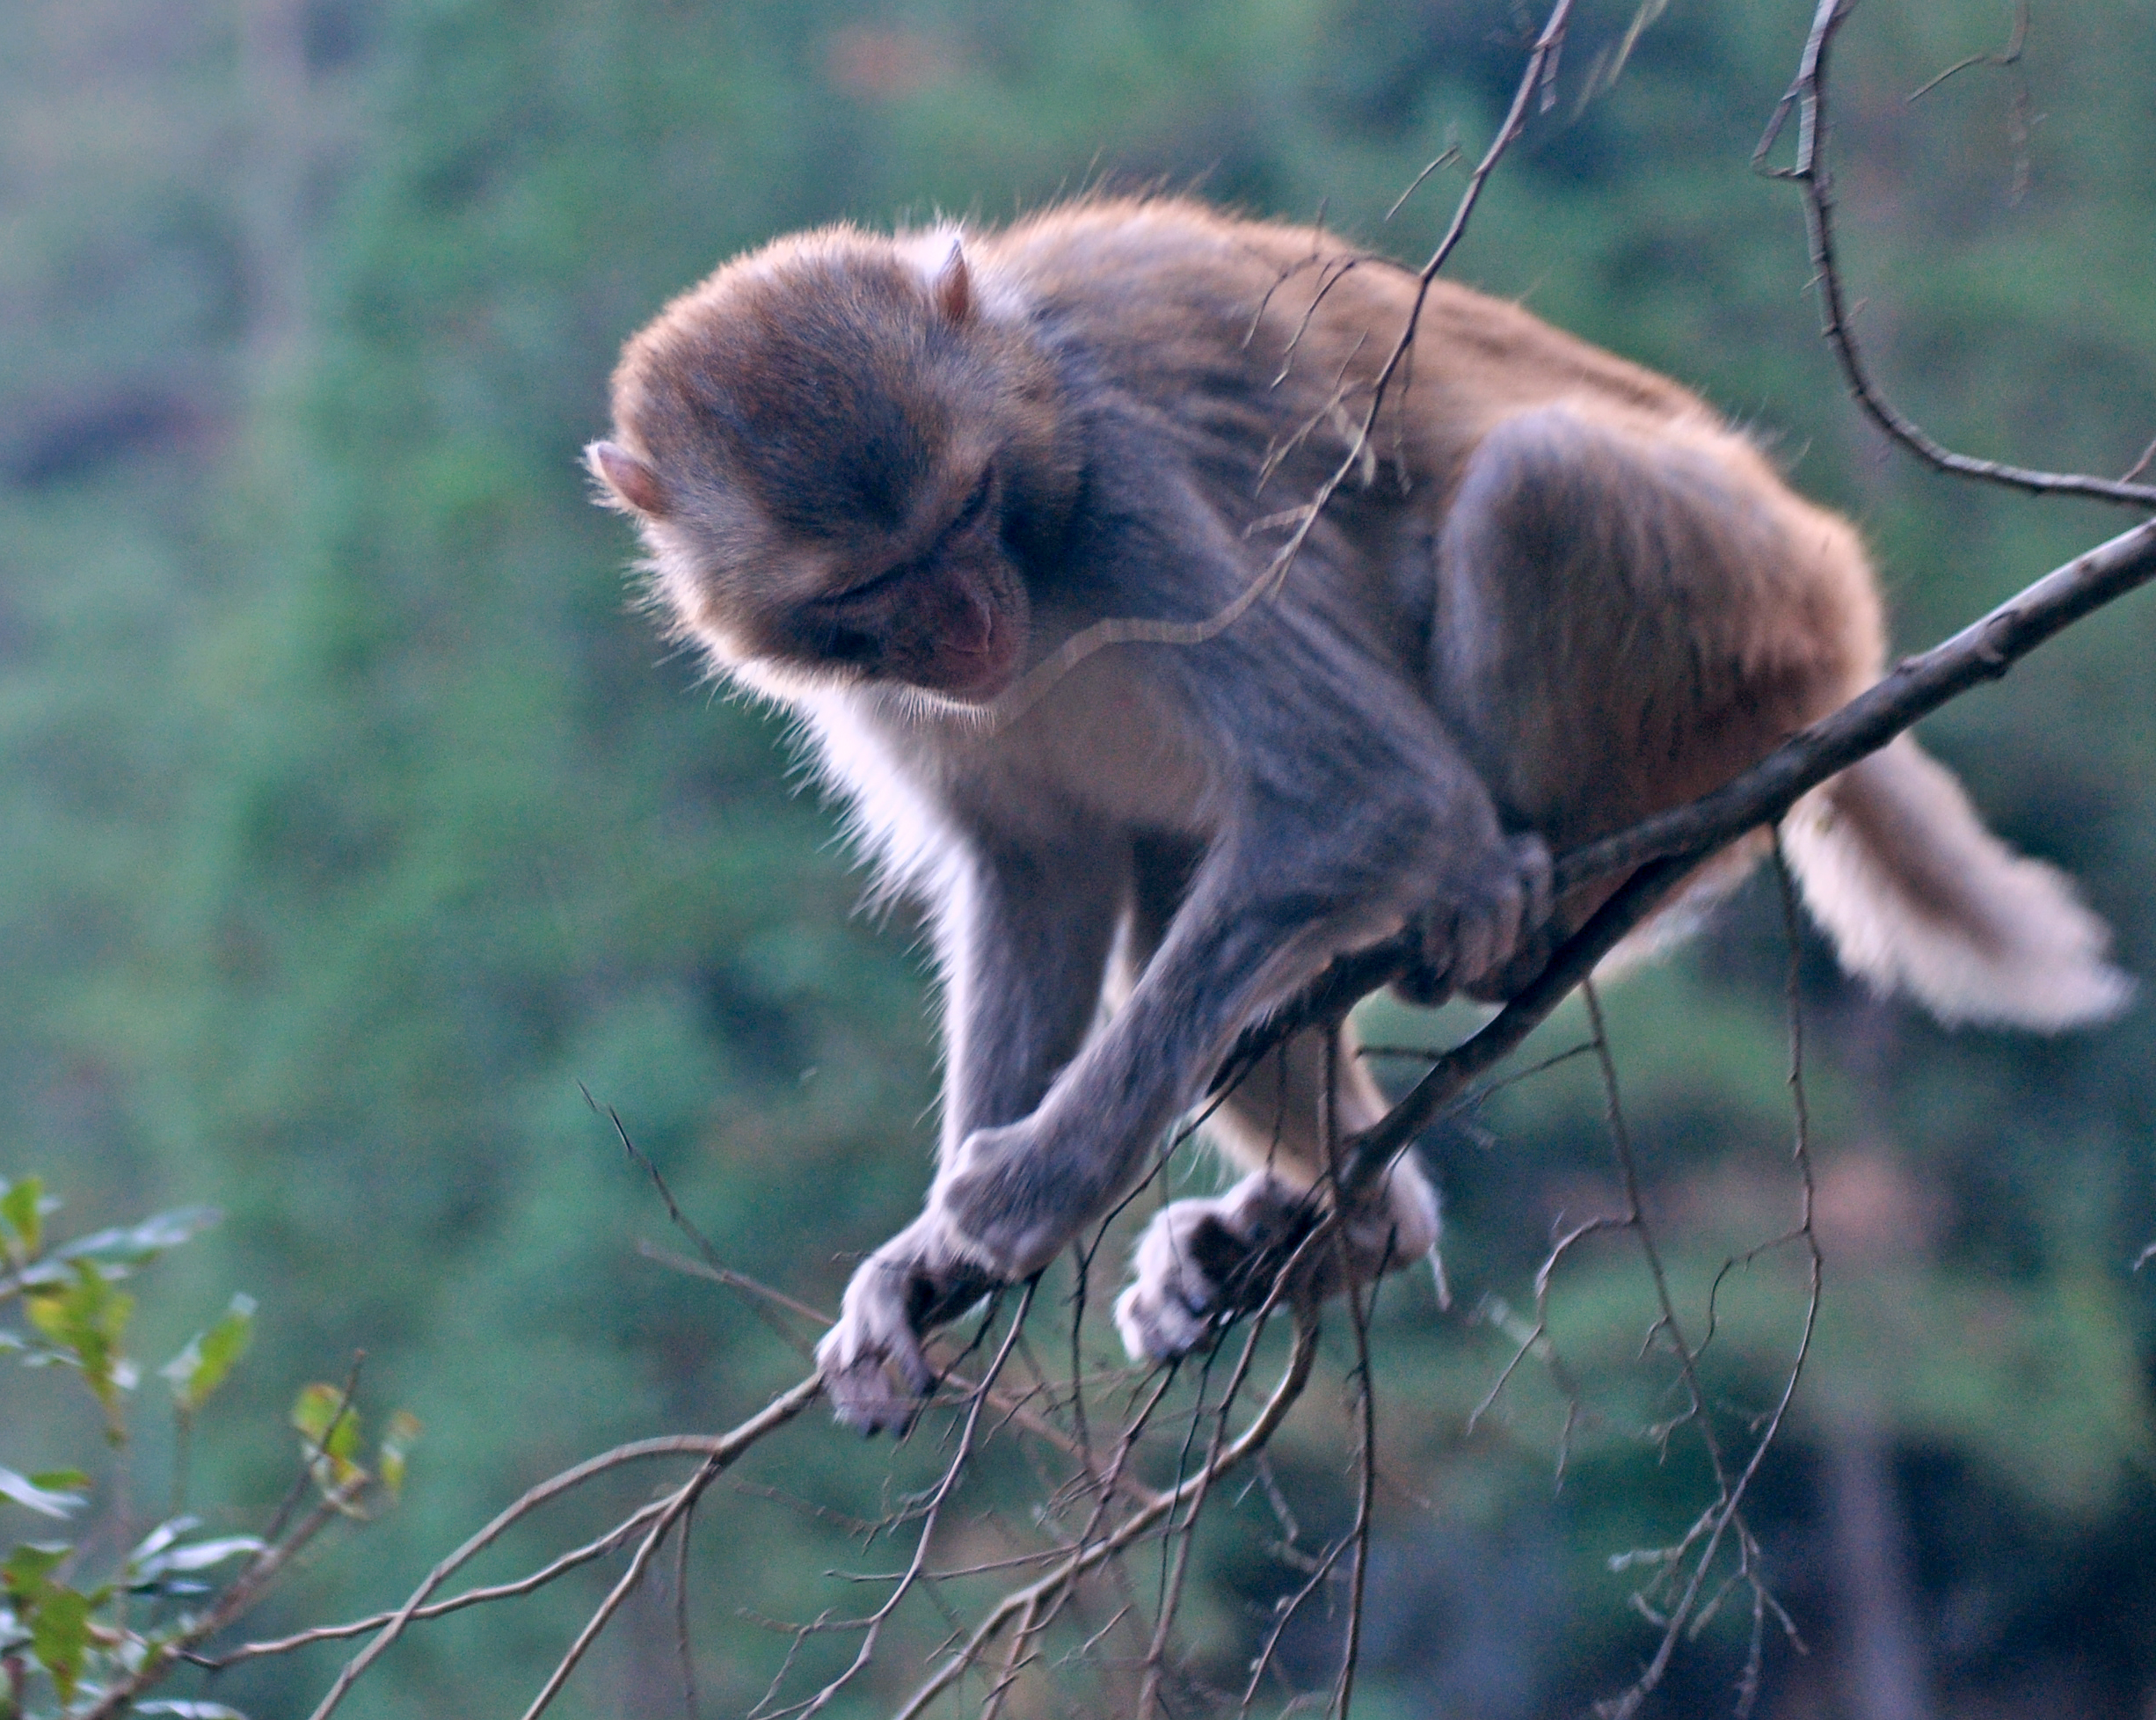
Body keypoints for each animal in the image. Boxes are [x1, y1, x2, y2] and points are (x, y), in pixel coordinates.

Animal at [582, 194, 2130, 1431]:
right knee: (1173, 925)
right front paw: (921, 1266)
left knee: (1534, 486)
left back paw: (1517, 906)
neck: (1038, 454)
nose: (965, 624)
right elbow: (1042, 872)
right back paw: (1361, 1224)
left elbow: (1364, 791)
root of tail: (1848, 627)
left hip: (1752, 614)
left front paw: (1032, 1191)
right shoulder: (896, 692)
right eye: (869, 586)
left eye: (966, 513)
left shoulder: (1128, 493)